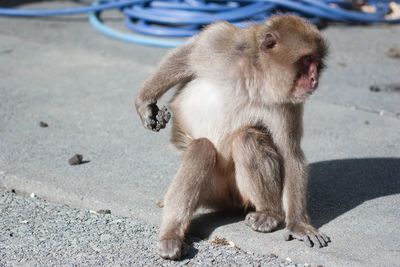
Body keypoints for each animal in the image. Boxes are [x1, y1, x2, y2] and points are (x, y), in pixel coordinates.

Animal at [136, 15, 330, 262]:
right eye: (306, 61)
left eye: (316, 62)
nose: (314, 78)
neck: (257, 74)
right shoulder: (219, 41)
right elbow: (185, 58)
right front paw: (144, 103)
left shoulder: (287, 105)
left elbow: (290, 154)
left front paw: (298, 225)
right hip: (211, 192)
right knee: (201, 149)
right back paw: (172, 234)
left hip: (238, 193)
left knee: (246, 138)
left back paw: (270, 213)